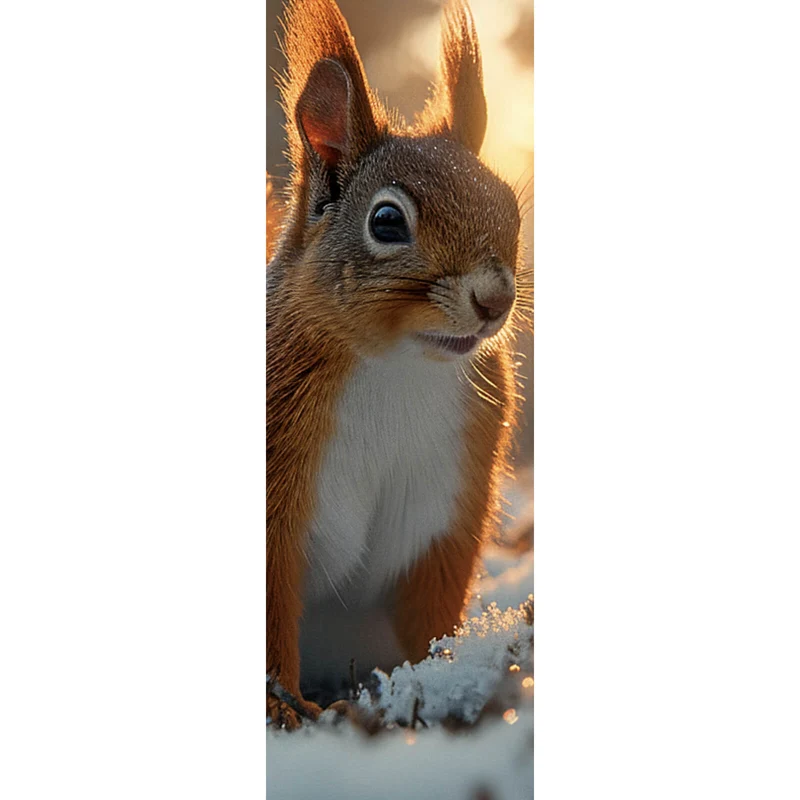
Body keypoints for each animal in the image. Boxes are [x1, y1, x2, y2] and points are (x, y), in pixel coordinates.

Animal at [267, 0, 527, 729]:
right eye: (387, 221)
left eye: (510, 206)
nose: (495, 300)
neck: (399, 367)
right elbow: (271, 610)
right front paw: (285, 709)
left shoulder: (443, 505)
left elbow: (430, 607)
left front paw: (440, 676)